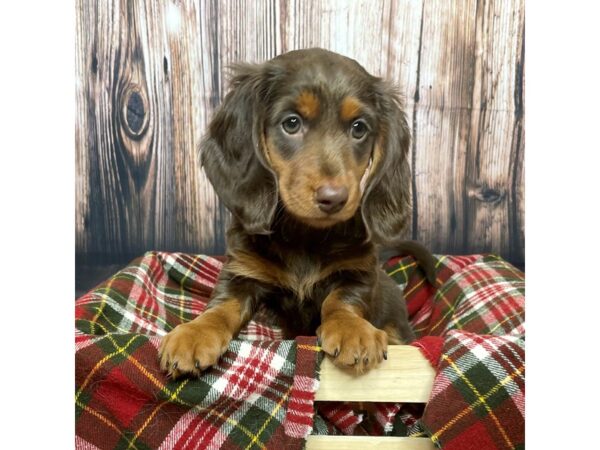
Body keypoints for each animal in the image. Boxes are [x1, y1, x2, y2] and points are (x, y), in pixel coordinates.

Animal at [158, 47, 436, 378]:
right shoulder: (242, 273)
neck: (306, 235)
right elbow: (223, 306)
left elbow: (341, 300)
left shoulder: (358, 273)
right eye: (291, 123)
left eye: (359, 128)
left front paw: (353, 330)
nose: (335, 199)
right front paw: (194, 333)